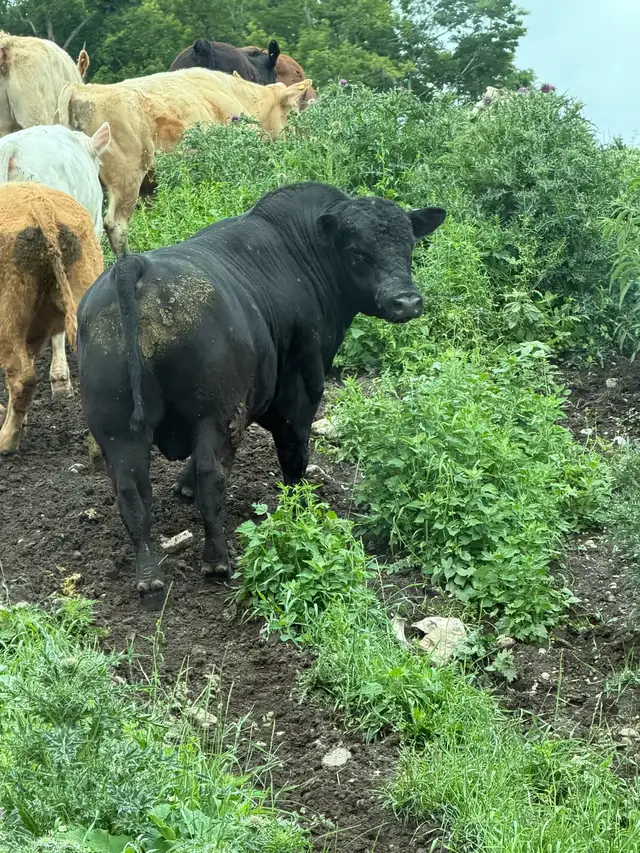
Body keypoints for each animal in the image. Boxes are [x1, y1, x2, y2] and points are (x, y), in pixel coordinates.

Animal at [76, 182, 446, 607]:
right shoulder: (300, 391)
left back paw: (149, 577)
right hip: (212, 414)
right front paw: (298, 508)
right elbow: (293, 454)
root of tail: (134, 268)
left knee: (133, 493)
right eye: (356, 251)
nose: (407, 302)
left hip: (118, 429)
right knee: (211, 478)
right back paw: (217, 561)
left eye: (410, 246)